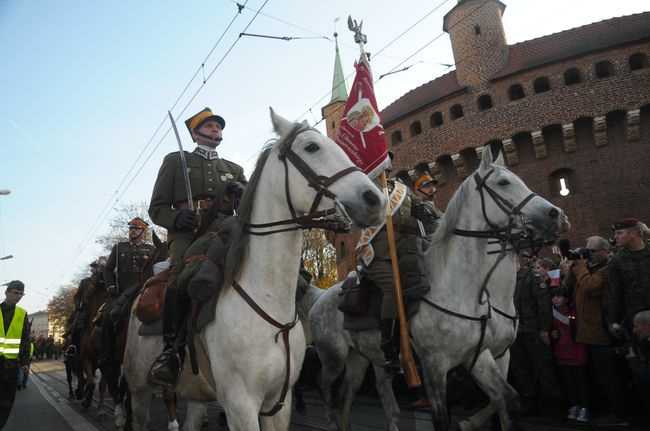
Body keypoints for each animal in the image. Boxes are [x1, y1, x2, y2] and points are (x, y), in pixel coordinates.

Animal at [123, 109, 384, 431]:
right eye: (312, 147)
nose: (375, 199)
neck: (269, 303)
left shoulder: (278, 403)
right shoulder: (240, 404)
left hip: (196, 398)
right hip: (139, 388)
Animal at [308, 146, 568, 431]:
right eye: (503, 182)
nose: (556, 214)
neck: (466, 290)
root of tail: (319, 299)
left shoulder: (484, 354)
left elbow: (507, 399)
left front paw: (470, 423)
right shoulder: (434, 365)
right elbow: (443, 419)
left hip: (362, 358)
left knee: (350, 394)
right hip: (333, 356)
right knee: (324, 386)